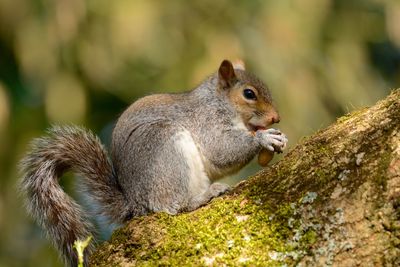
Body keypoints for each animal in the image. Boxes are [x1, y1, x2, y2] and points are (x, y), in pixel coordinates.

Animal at [18, 59, 288, 266]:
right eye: (249, 94)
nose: (276, 117)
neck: (220, 102)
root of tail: (134, 203)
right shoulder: (207, 122)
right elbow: (221, 150)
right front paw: (264, 138)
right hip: (164, 148)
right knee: (170, 206)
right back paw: (201, 198)